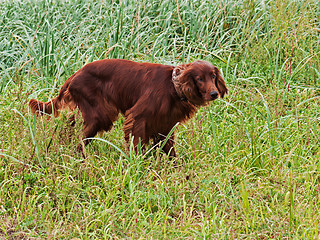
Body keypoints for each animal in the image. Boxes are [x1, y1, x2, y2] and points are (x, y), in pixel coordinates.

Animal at [28, 59, 228, 158]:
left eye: (213, 76)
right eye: (199, 78)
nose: (214, 93)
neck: (173, 86)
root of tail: (75, 75)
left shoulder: (165, 125)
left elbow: (169, 149)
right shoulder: (139, 116)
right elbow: (137, 142)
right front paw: (137, 163)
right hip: (101, 115)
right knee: (81, 140)